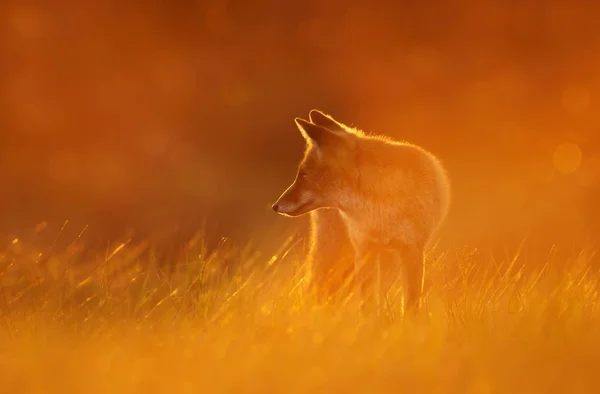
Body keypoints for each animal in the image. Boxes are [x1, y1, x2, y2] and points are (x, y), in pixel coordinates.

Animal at [272, 109, 450, 312]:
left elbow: (410, 306)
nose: (275, 206)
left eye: (303, 175)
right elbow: (368, 306)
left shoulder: (411, 250)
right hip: (335, 251)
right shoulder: (364, 249)